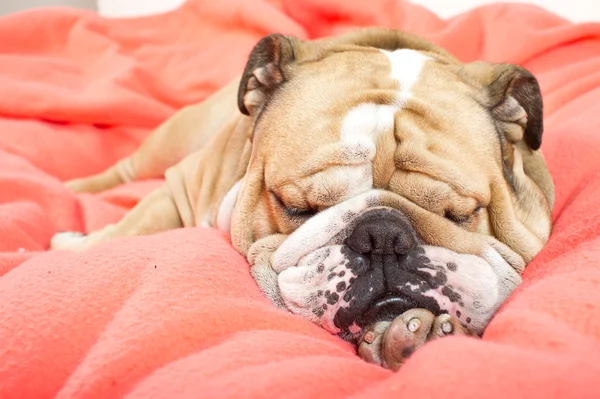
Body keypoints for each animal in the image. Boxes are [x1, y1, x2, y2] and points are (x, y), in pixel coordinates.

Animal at [51, 28, 552, 372]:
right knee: (126, 169)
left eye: (462, 213)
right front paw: (82, 245)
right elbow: (131, 226)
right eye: (296, 206)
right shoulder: (179, 187)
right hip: (174, 141)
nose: (383, 235)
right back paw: (72, 196)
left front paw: (414, 338)